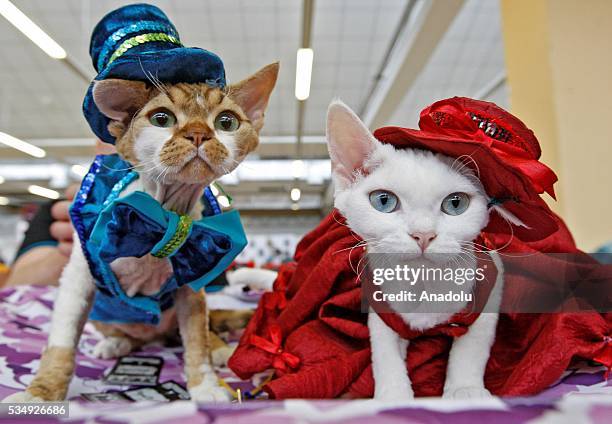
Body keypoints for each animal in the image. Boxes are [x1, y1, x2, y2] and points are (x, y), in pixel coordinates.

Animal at [326, 100, 512, 400]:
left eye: (456, 204)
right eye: (384, 201)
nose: (423, 234)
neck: (422, 281)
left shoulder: (493, 287)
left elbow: (472, 347)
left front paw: (466, 389)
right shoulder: (381, 305)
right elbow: (384, 352)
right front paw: (393, 394)